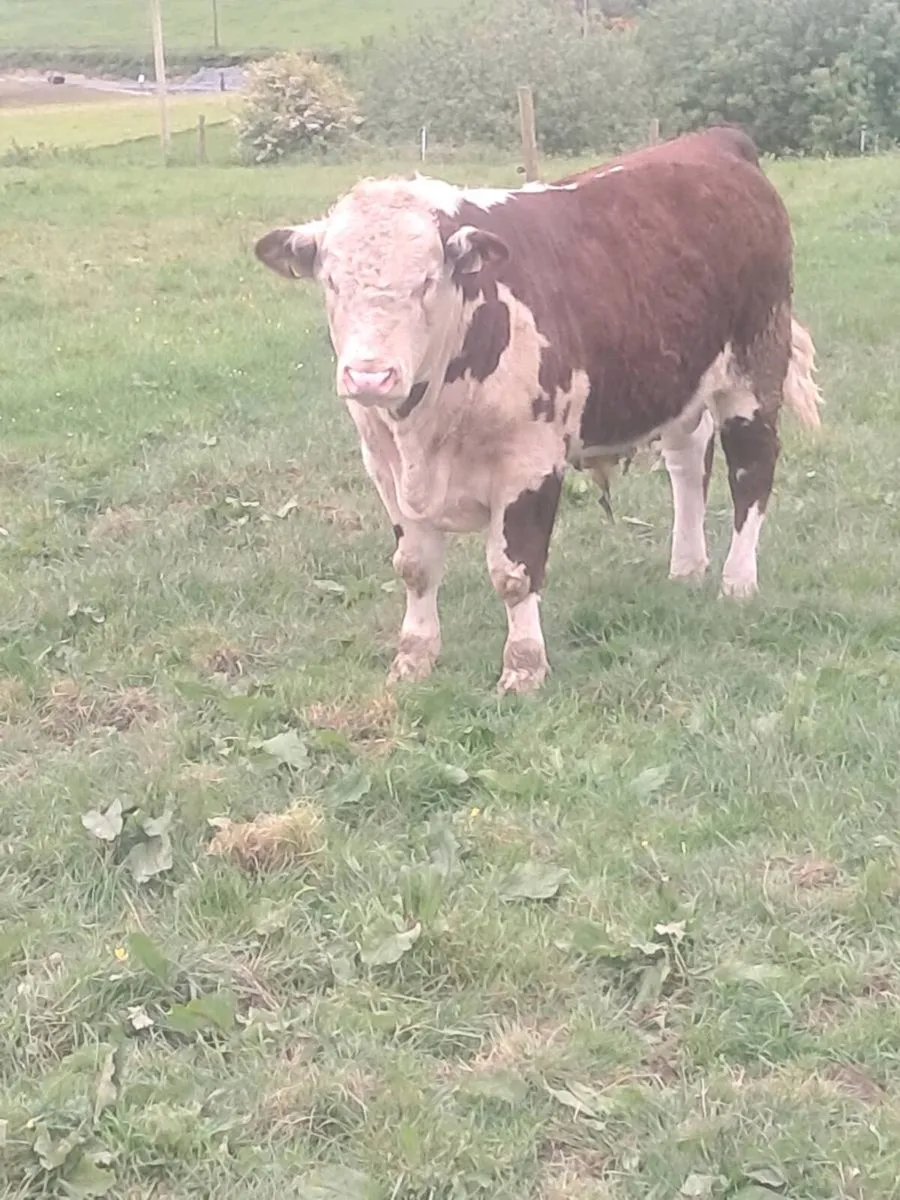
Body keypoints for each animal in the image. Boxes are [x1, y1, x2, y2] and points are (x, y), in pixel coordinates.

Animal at [254, 127, 822, 695]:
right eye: (331, 282)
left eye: (426, 281)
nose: (369, 376)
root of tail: (718, 140)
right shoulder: (384, 465)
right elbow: (414, 567)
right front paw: (413, 659)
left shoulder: (530, 462)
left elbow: (515, 573)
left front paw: (524, 667)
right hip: (681, 380)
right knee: (688, 462)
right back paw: (686, 568)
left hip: (755, 367)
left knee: (752, 471)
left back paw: (736, 582)